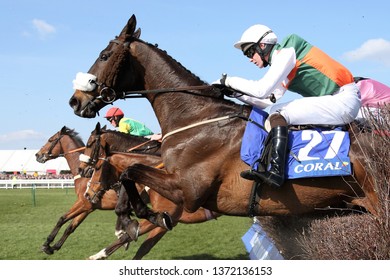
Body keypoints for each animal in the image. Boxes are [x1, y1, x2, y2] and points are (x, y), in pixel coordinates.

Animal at [35, 126, 118, 255]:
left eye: (50, 139)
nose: (37, 155)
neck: (85, 174)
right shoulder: (88, 207)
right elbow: (71, 227)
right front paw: (55, 246)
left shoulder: (83, 203)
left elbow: (62, 219)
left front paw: (47, 244)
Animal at [68, 14, 380, 230]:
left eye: (104, 55)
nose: (75, 101)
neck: (196, 117)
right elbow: (126, 168)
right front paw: (132, 216)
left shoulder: (188, 191)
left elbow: (130, 170)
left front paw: (139, 216)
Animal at [80, 122, 221, 260]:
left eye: (89, 144)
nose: (87, 193)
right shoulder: (167, 219)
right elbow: (143, 246)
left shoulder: (169, 215)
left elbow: (130, 236)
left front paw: (98, 255)